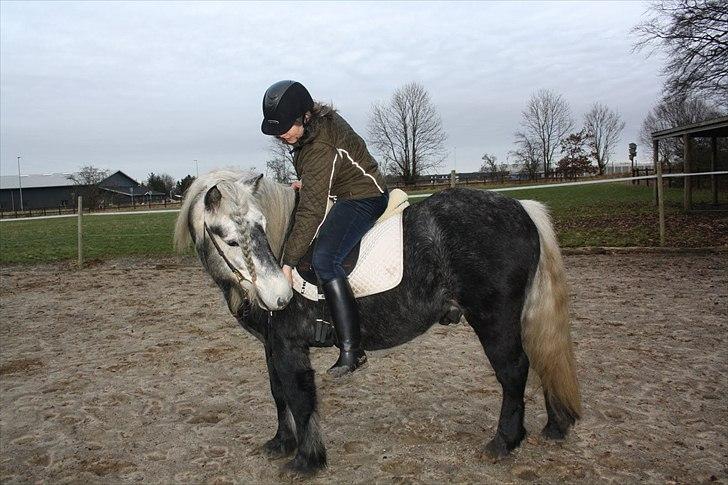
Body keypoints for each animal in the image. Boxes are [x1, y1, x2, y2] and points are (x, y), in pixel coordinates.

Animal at [173, 170, 581, 474]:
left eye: (260, 225)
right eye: (228, 238)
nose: (279, 296)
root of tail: (521, 207)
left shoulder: (289, 345)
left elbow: (300, 399)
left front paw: (306, 460)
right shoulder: (271, 345)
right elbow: (278, 393)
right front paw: (281, 443)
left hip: (493, 318)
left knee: (514, 371)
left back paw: (504, 441)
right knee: (542, 359)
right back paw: (554, 425)